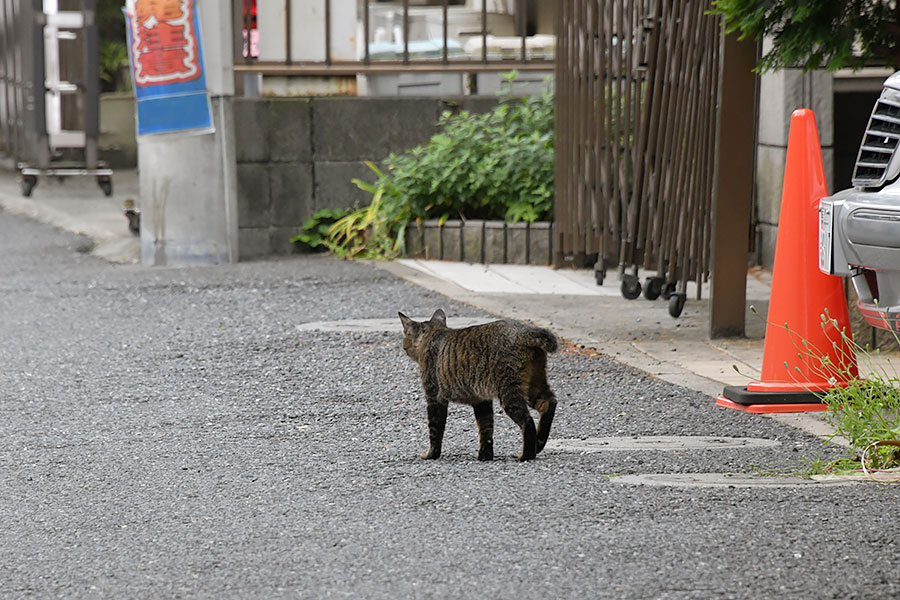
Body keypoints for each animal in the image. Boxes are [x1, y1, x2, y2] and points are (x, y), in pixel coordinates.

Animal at [400, 310, 556, 460]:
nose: (404, 347)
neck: (434, 332)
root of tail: (523, 331)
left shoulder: (434, 397)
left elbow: (435, 430)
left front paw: (431, 454)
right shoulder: (482, 400)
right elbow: (486, 429)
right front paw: (485, 456)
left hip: (509, 391)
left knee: (527, 421)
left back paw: (526, 455)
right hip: (533, 384)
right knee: (549, 402)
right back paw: (539, 443)